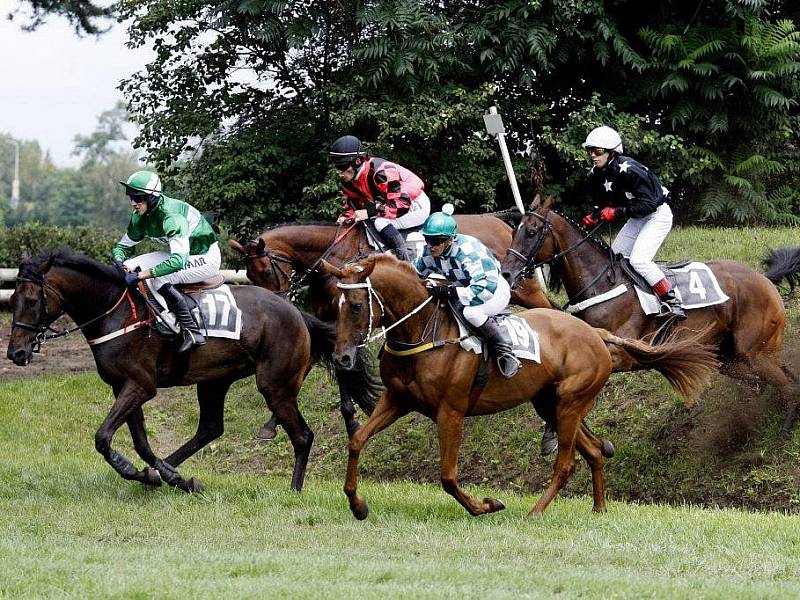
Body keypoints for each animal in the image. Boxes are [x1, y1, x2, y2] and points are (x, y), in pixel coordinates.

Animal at [5, 248, 382, 492]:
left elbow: (103, 437)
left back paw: (294, 490)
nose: (16, 353)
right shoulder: (124, 386)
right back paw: (171, 471)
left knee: (302, 435)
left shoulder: (141, 385)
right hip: (214, 381)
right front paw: (162, 476)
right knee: (211, 428)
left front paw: (147, 472)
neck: (115, 311)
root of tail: (297, 314)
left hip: (275, 386)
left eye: (33, 301)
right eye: (13, 300)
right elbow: (141, 443)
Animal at [324, 252, 720, 516]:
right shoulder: (396, 399)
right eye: (333, 303)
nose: (342, 358)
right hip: (550, 403)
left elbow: (449, 476)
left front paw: (486, 505)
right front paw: (357, 504)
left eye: (356, 304)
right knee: (593, 451)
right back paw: (599, 509)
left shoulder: (450, 411)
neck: (424, 330)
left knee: (566, 464)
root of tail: (595, 333)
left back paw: (536, 511)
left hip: (570, 402)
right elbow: (357, 440)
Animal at [504, 197, 796, 436]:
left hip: (753, 351)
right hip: (729, 356)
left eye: (531, 232)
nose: (507, 273)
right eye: (514, 232)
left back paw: (786, 426)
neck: (602, 283)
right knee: (775, 377)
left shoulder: (622, 354)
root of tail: (763, 279)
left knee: (785, 384)